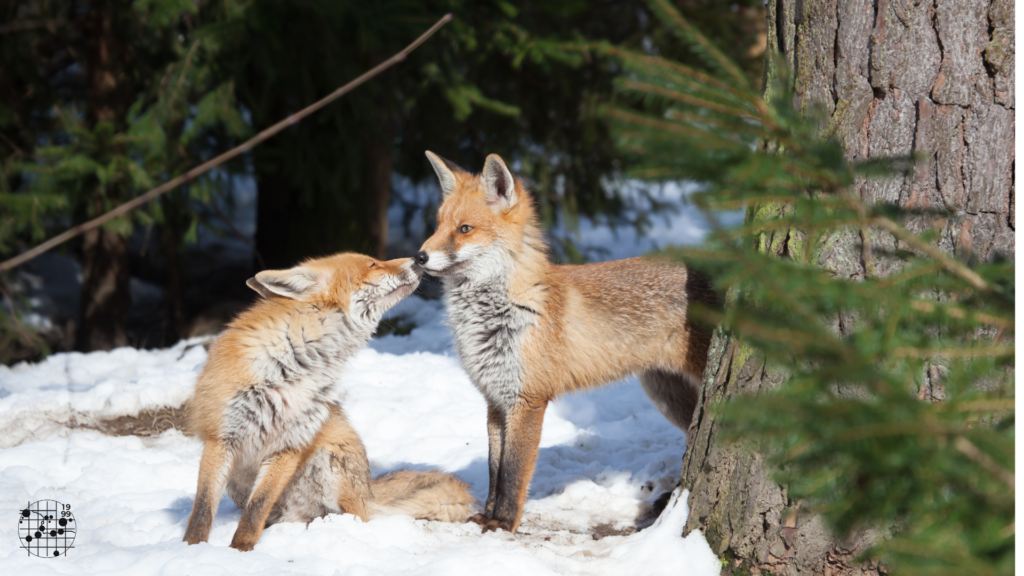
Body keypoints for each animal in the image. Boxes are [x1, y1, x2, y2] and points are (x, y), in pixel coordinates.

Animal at [181, 253, 475, 549]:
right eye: (373, 264)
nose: (418, 258)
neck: (293, 366)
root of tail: (368, 491)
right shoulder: (220, 437)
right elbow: (203, 509)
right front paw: (193, 547)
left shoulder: (290, 444)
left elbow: (256, 510)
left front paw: (240, 549)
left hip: (329, 458)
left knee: (357, 517)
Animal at [415, 150, 720, 532]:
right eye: (438, 225)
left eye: (464, 229)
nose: (418, 257)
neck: (499, 314)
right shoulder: (495, 401)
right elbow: (494, 471)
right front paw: (487, 515)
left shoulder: (528, 401)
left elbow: (512, 474)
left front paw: (503, 524)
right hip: (668, 396)